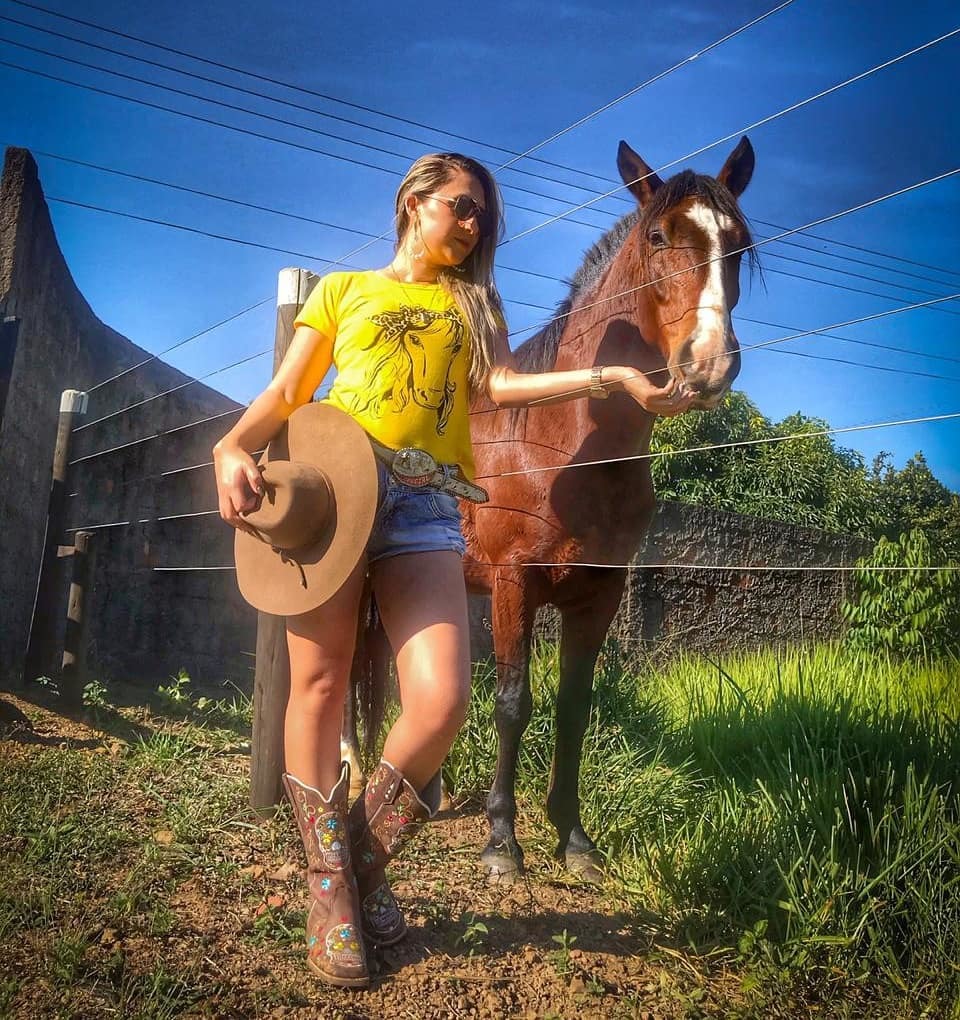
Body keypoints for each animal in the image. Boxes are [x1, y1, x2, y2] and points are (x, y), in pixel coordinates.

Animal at [459, 137, 754, 885]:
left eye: (738, 244)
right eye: (658, 237)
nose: (708, 365)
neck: (560, 444)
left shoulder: (598, 593)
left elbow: (573, 708)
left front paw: (574, 839)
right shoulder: (512, 584)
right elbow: (513, 702)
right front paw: (502, 843)